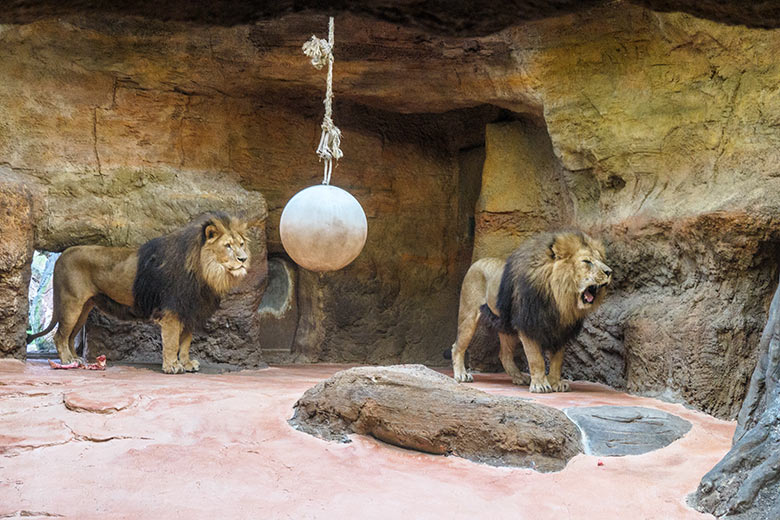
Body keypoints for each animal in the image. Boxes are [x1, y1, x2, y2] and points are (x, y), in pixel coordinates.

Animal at [25, 211, 250, 374]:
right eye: (227, 246)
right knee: (60, 336)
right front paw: (172, 366)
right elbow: (171, 342)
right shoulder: (172, 311)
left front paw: (186, 364)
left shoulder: (188, 311)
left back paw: (76, 359)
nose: (244, 259)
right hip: (71, 303)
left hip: (84, 308)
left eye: (241, 244)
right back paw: (66, 361)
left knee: (71, 337)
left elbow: (185, 342)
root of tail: (63, 254)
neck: (205, 271)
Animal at [450, 230, 616, 392]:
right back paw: (461, 375)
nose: (609, 271)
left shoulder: (561, 330)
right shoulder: (528, 324)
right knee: (457, 346)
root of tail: (477, 262)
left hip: (507, 327)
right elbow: (536, 359)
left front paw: (555, 383)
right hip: (469, 316)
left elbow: (557, 361)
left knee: (504, 355)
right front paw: (540, 385)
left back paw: (518, 377)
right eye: (587, 262)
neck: (559, 298)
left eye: (600, 260)